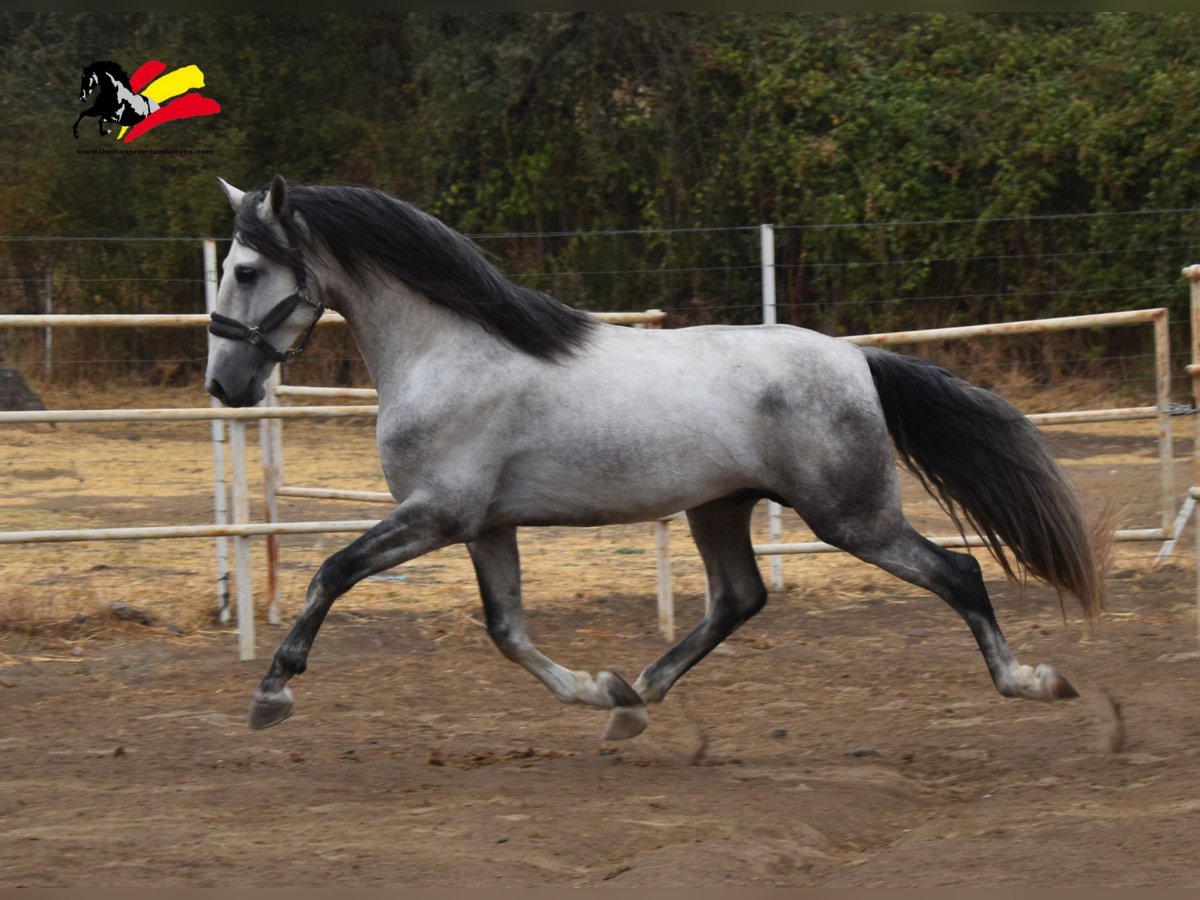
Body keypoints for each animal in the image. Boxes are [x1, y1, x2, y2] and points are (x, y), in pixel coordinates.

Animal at [204, 180, 1104, 744]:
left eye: (246, 269)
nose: (224, 384)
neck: (450, 351)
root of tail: (857, 359)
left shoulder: (437, 514)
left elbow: (332, 571)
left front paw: (272, 693)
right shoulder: (485, 526)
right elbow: (507, 630)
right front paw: (594, 690)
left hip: (853, 516)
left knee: (959, 574)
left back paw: (1035, 682)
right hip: (721, 507)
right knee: (739, 598)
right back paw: (635, 697)